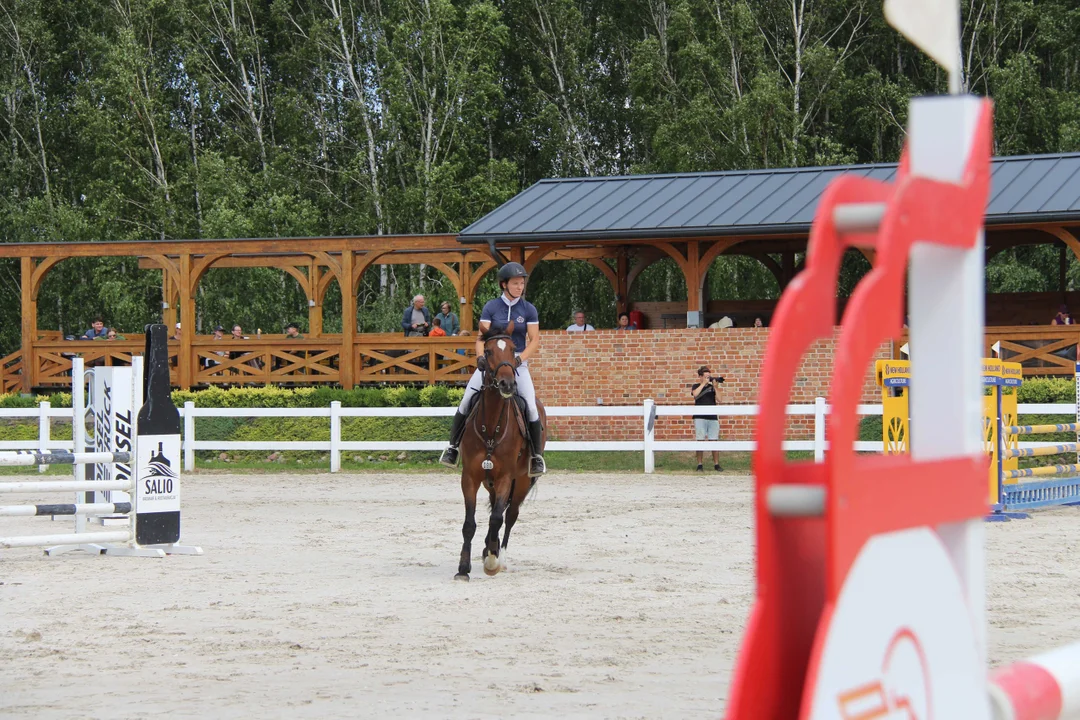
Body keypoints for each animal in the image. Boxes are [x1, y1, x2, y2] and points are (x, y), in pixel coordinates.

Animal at [453, 323, 544, 582]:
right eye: (488, 351)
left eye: (513, 349)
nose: (507, 384)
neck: (492, 426)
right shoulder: (470, 477)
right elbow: (470, 524)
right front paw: (463, 568)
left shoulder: (505, 478)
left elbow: (497, 518)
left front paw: (492, 562)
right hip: (489, 482)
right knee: (498, 508)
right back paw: (487, 549)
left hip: (521, 482)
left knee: (509, 515)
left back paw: (498, 555)